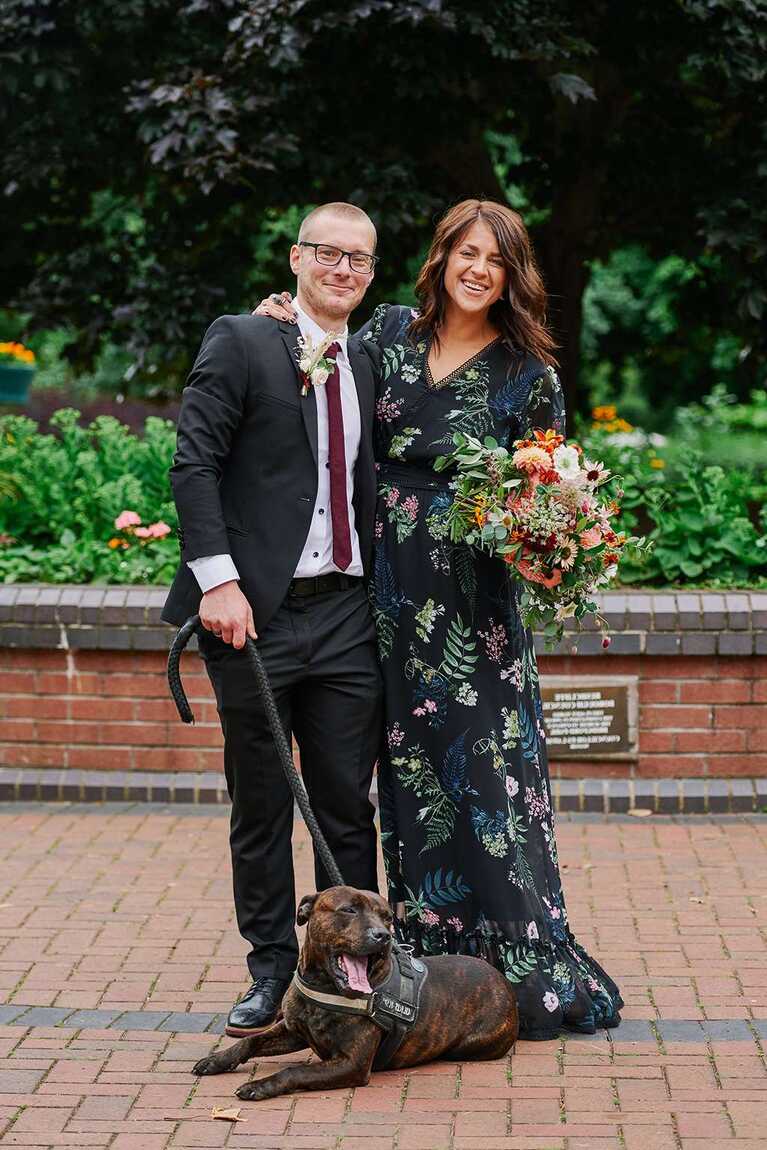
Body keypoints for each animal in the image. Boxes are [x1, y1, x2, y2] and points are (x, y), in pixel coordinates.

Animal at [192, 883, 519, 1099]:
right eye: (348, 910)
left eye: (387, 917)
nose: (383, 936)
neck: (325, 987)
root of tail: (502, 979)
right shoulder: (294, 1031)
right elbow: (249, 1042)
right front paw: (216, 1060)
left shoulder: (352, 1064)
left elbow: (295, 1072)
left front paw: (259, 1086)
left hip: (471, 1044)